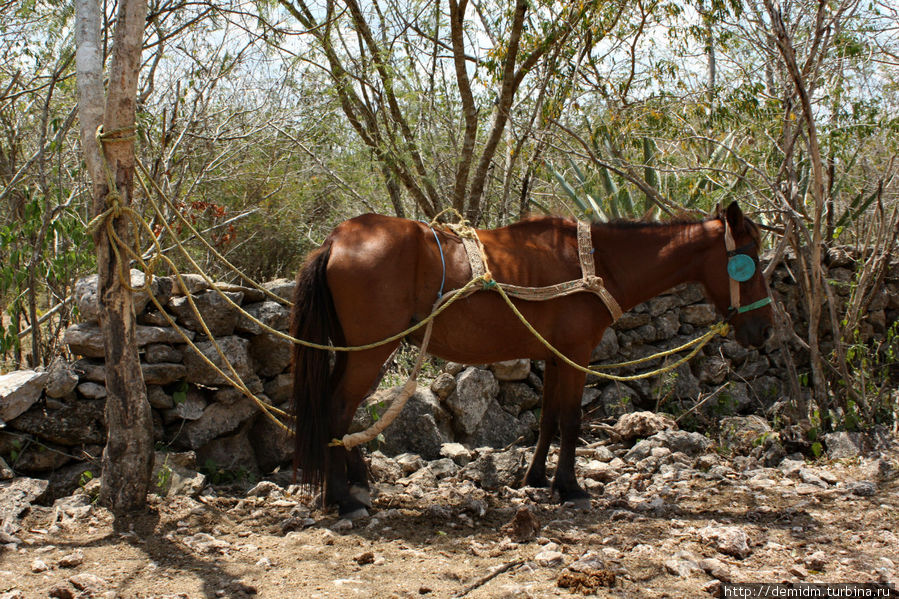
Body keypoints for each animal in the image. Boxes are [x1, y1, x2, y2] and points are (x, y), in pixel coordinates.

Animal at [290, 203, 772, 520]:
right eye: (749, 258)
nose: (764, 330)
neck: (595, 263)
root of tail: (338, 238)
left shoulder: (556, 356)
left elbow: (549, 419)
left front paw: (538, 478)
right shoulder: (577, 354)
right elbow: (572, 420)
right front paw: (571, 487)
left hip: (354, 352)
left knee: (336, 410)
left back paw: (352, 483)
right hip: (370, 353)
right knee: (336, 409)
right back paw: (343, 499)